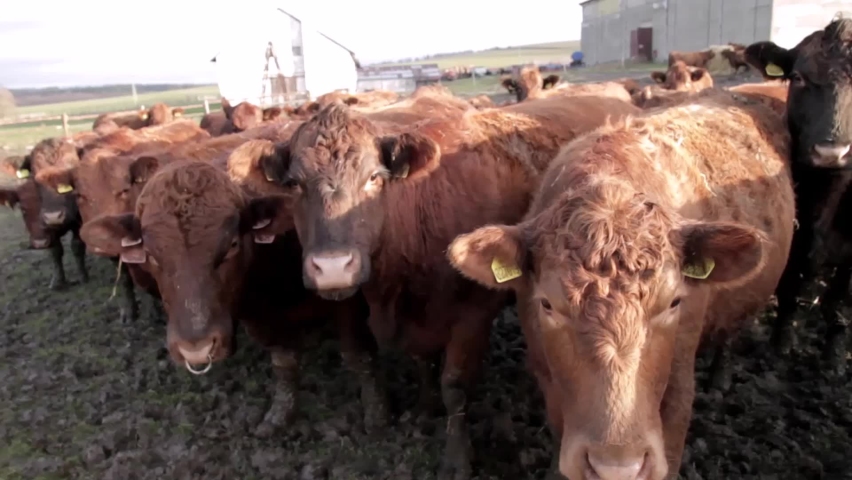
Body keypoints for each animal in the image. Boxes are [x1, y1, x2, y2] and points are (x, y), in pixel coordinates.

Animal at [79, 157, 384, 438]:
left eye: (233, 245)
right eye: (151, 255)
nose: (196, 348)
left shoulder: (347, 302)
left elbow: (358, 356)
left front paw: (374, 414)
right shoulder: (261, 319)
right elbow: (284, 364)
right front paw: (280, 414)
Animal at [255, 94, 641, 479]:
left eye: (374, 178)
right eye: (294, 184)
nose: (333, 267)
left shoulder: (473, 315)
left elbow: (454, 385)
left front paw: (458, 458)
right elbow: (421, 361)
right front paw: (425, 407)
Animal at [744, 16, 852, 372]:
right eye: (798, 77)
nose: (831, 152)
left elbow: (839, 298)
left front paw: (834, 355)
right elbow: (792, 286)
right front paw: (780, 346)